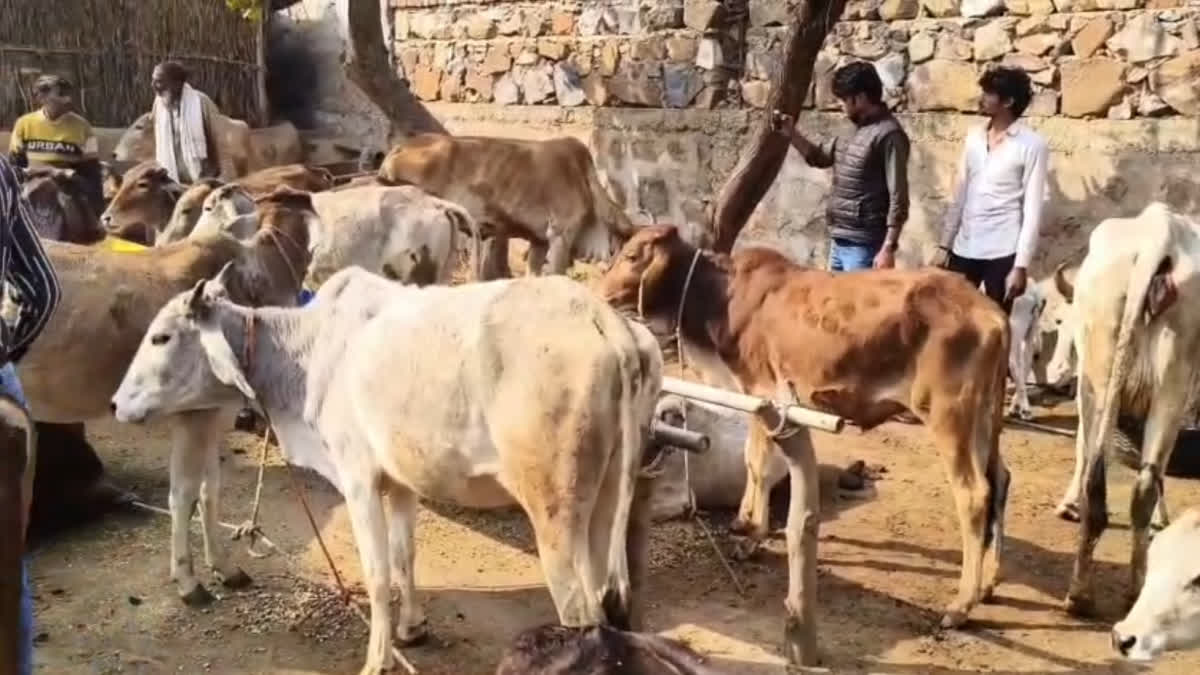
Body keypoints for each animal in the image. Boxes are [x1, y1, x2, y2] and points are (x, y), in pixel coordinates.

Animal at [21, 187, 313, 604]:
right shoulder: (193, 417)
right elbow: (183, 495)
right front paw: (189, 581)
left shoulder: (212, 414)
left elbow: (210, 490)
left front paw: (224, 567)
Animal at [111, 266, 661, 675]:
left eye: (161, 337)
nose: (116, 403)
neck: (305, 354)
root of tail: (607, 323)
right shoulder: (400, 482)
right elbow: (403, 558)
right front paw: (411, 630)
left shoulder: (357, 478)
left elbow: (376, 574)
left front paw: (378, 660)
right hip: (606, 500)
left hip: (554, 514)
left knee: (581, 614)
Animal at [597, 225, 1011, 666]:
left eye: (633, 255)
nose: (601, 292)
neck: (721, 295)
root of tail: (993, 313)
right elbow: (750, 460)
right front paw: (743, 521)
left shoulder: (766, 394)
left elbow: (759, 465)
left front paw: (752, 537)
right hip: (985, 421)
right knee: (1001, 480)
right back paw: (988, 584)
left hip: (950, 416)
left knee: (974, 495)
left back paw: (960, 607)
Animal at [1061, 202, 1200, 618]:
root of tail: (1160, 231)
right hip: (1172, 381)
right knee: (1142, 484)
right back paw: (1130, 589)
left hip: (1103, 369)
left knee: (1099, 478)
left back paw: (1081, 594)